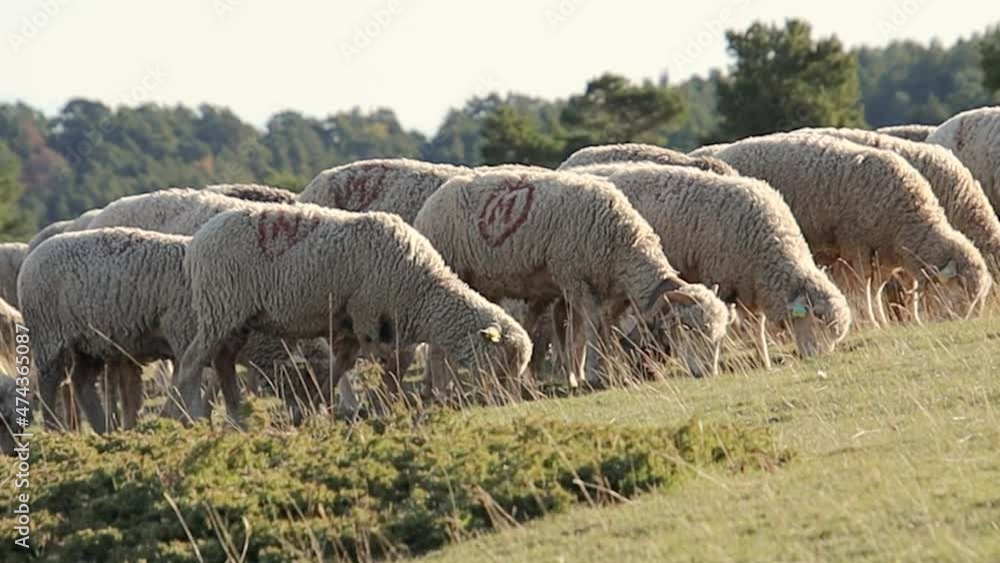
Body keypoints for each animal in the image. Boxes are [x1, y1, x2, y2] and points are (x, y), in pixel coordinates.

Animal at [18, 227, 341, 432]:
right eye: (306, 379)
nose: (306, 421)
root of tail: (32, 257)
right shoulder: (185, 337)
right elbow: (188, 384)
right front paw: (187, 421)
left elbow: (210, 385)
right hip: (50, 336)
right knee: (48, 383)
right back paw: (55, 430)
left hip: (89, 343)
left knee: (82, 383)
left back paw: (103, 430)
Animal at [171, 203, 532, 420]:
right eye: (503, 362)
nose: (509, 403)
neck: (424, 291)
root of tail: (197, 242)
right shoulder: (368, 317)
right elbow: (383, 365)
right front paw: (381, 406)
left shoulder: (353, 324)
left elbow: (348, 365)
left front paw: (317, 403)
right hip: (221, 307)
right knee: (191, 362)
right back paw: (195, 415)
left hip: (237, 318)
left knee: (223, 362)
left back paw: (236, 417)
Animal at [413, 166, 733, 387]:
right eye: (690, 330)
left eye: (719, 336)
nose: (708, 373)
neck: (624, 245)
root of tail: (430, 203)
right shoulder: (575, 279)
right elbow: (587, 329)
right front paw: (593, 374)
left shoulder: (605, 293)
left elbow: (591, 331)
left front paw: (587, 373)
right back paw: (443, 386)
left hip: (484, 283)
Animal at [569, 162, 851, 369]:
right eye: (817, 318)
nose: (819, 358)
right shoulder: (721, 277)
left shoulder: (749, 287)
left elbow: (756, 328)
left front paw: (765, 361)